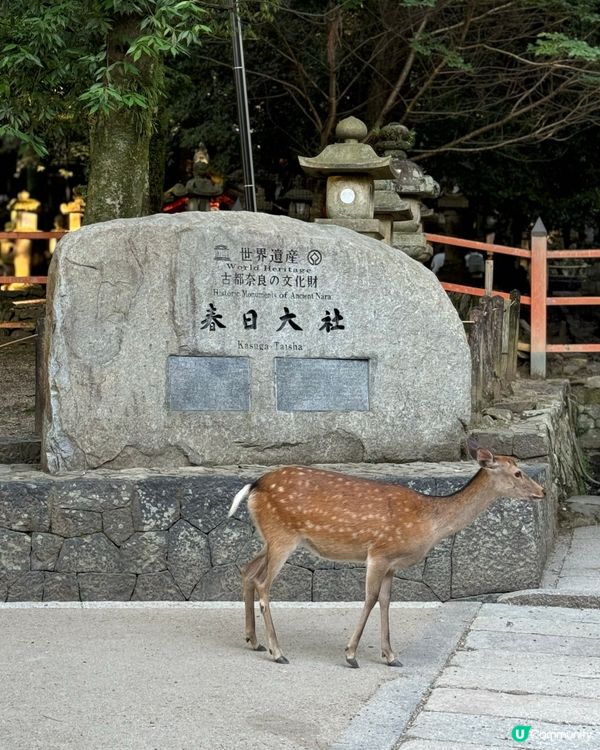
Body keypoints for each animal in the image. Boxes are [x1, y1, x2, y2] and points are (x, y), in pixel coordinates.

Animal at [228, 440, 545, 668]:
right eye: (517, 472)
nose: (542, 491)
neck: (428, 522)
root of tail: (254, 485)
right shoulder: (379, 552)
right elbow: (369, 599)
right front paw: (351, 655)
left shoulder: (393, 563)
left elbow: (385, 601)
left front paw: (391, 656)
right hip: (283, 537)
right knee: (263, 583)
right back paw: (277, 651)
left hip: (270, 538)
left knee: (247, 571)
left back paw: (253, 640)